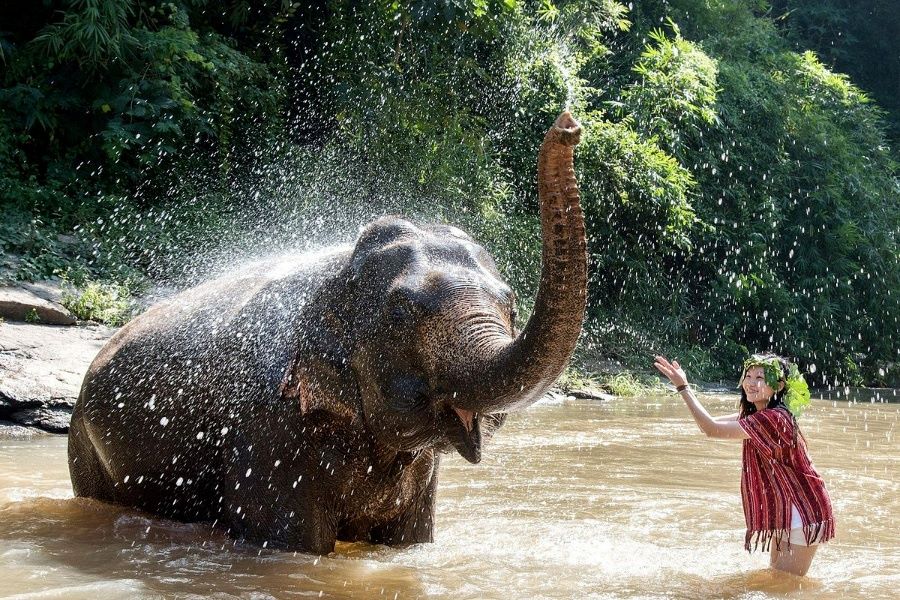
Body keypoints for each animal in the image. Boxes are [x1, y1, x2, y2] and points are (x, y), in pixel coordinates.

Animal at [68, 112, 587, 554]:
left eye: (511, 306)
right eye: (400, 312)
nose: (569, 126)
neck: (336, 274)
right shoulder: (268, 434)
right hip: (84, 446)